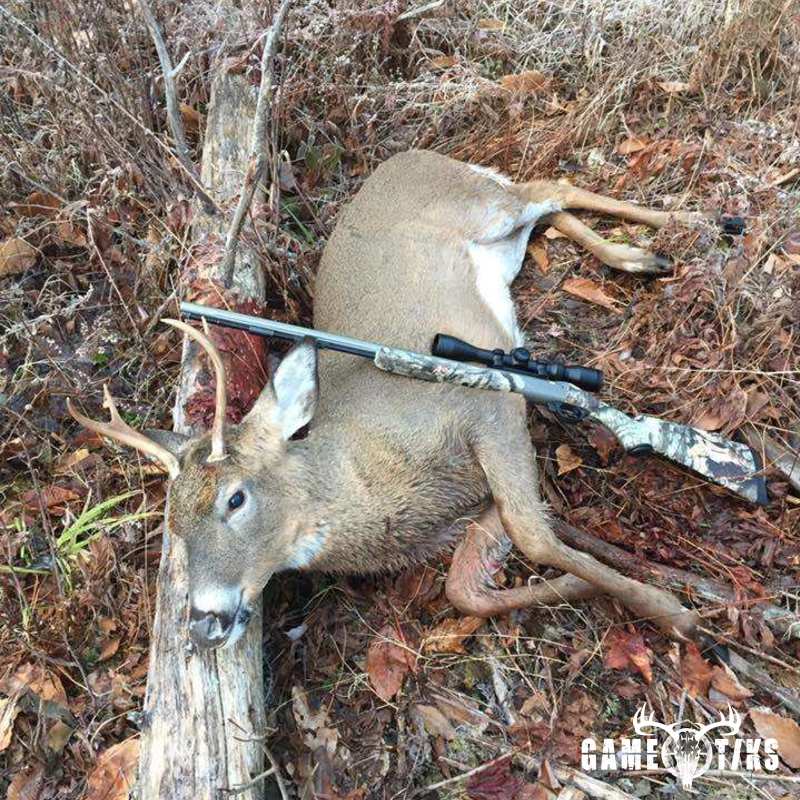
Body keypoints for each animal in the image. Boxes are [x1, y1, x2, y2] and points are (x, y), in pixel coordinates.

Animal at [69, 150, 704, 649]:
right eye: (173, 525)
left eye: (236, 498)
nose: (204, 623)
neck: (373, 473)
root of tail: (407, 156)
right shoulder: (473, 503)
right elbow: (464, 590)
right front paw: (583, 588)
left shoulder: (488, 409)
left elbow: (533, 533)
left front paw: (673, 612)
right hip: (502, 244)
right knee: (548, 209)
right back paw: (643, 254)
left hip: (482, 205)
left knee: (550, 186)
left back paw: (687, 225)